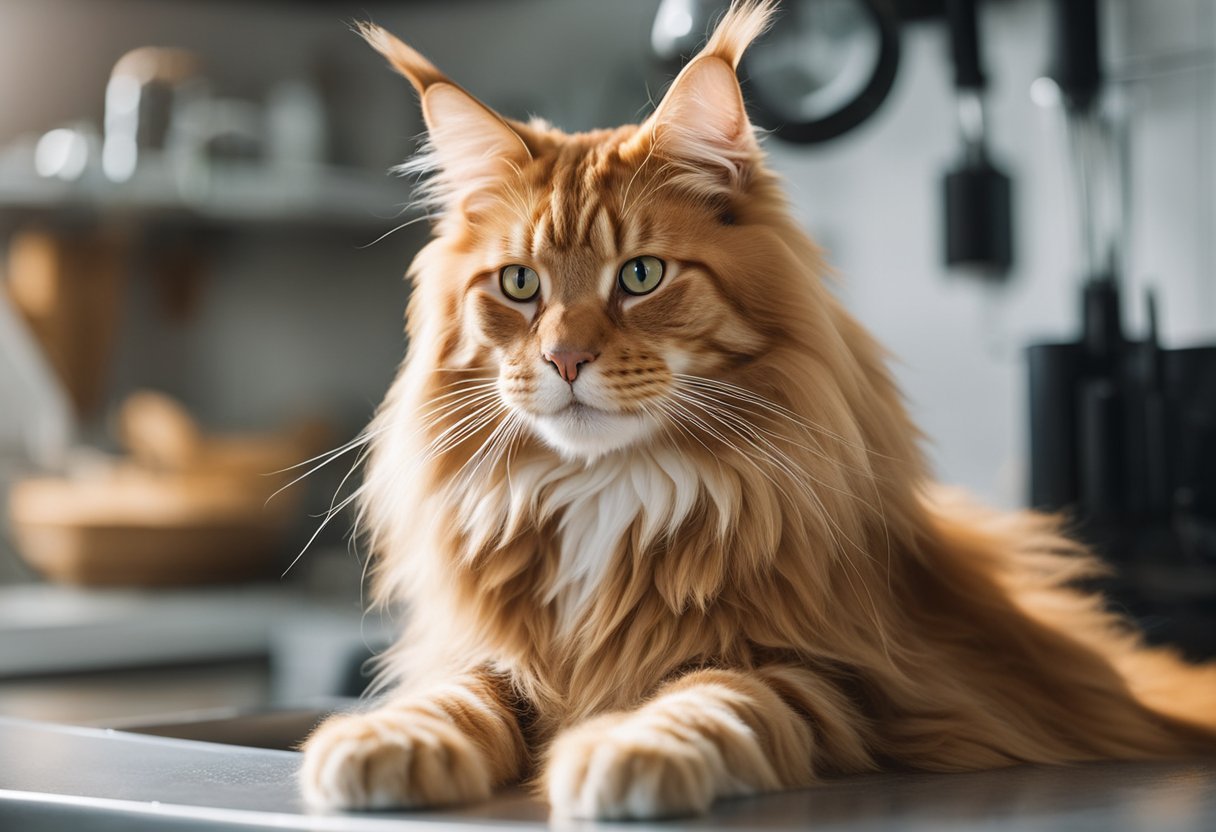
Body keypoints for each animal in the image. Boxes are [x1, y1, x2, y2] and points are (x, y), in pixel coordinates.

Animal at [296, 0, 1216, 817]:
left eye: (641, 275)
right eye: (520, 285)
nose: (564, 359)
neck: (608, 497)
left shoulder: (833, 676)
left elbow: (712, 695)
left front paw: (627, 749)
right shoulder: (483, 655)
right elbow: (456, 692)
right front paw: (384, 741)